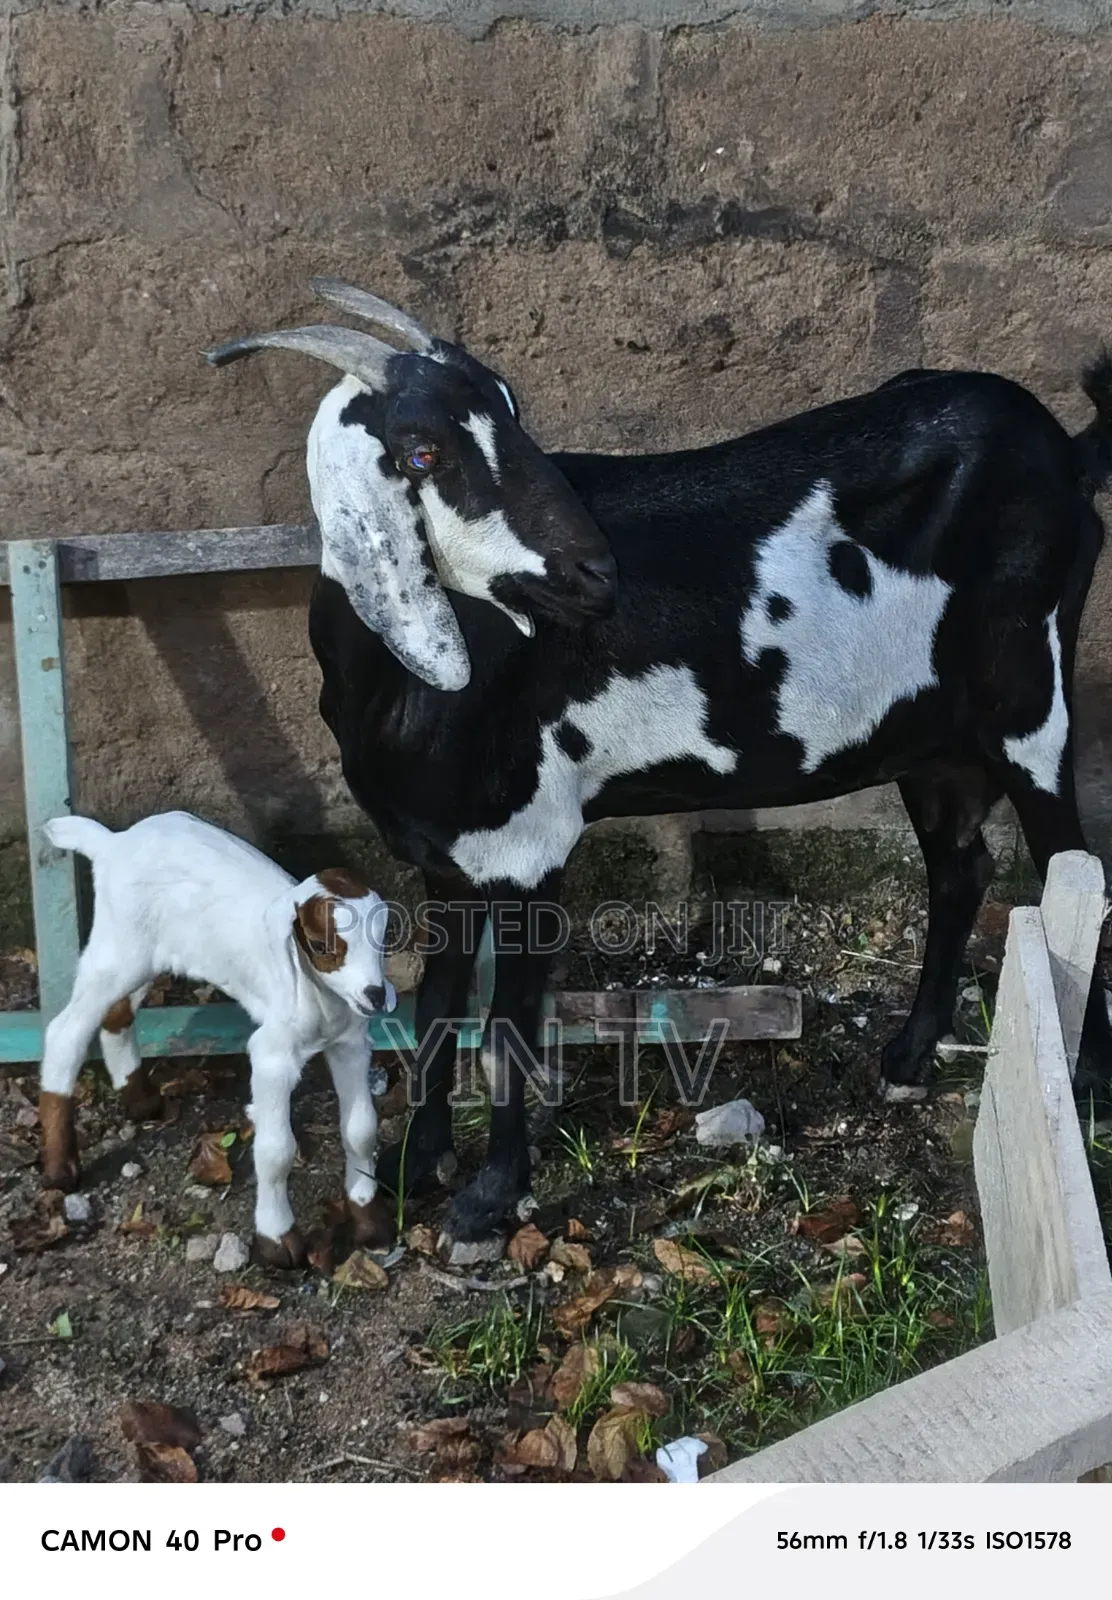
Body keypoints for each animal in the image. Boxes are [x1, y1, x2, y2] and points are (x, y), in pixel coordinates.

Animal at [36, 811, 396, 1265]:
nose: (375, 996)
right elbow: (276, 1150)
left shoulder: (350, 1044)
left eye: (383, 938)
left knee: (117, 1012)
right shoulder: (272, 1056)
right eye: (319, 944)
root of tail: (112, 843)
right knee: (65, 1031)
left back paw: (141, 1100)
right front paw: (277, 1241)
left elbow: (362, 1129)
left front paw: (371, 1223)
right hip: (119, 947)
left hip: (140, 954)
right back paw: (59, 1167)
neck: (321, 999)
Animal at [209, 281, 1112, 1243]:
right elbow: (435, 1007)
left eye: (513, 413)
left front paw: (490, 1196)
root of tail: (1067, 452)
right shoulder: (448, 857)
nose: (593, 573)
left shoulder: (530, 847)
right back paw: (907, 1056)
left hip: (1030, 699)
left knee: (1070, 869)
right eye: (423, 452)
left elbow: (508, 1022)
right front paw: (420, 1167)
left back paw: (1086, 1080)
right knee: (959, 867)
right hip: (930, 738)